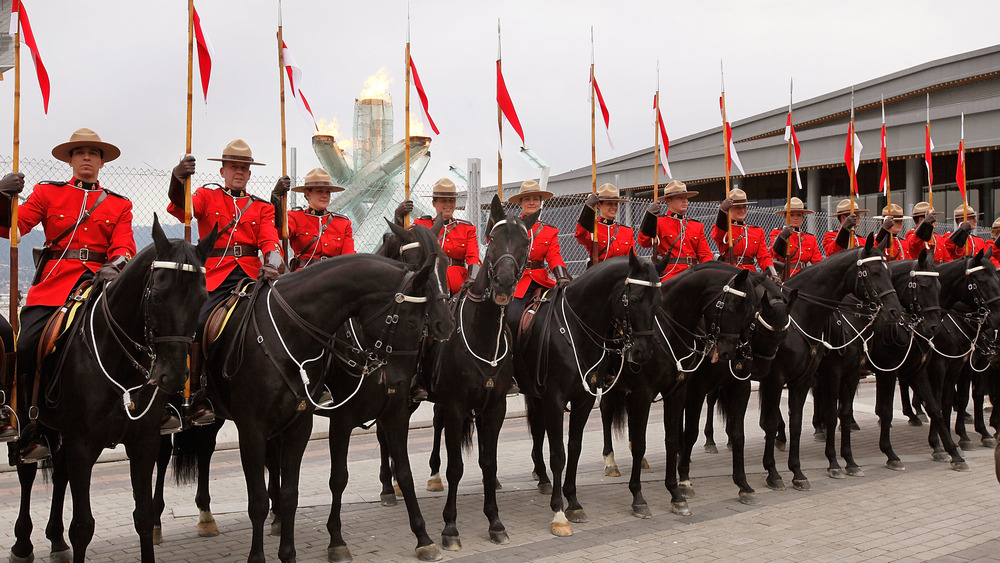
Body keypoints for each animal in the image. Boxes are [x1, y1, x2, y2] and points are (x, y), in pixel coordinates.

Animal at [9, 218, 213, 563]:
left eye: (202, 298)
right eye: (158, 296)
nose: (173, 376)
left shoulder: (142, 443)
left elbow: (143, 515)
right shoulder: (83, 445)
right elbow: (82, 526)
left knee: (59, 473)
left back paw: (55, 539)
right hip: (30, 422)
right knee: (27, 474)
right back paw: (23, 545)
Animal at [516, 252, 664, 536]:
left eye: (658, 303)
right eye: (635, 299)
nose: (644, 352)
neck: (575, 329)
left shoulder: (583, 399)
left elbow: (574, 448)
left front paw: (573, 503)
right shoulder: (554, 400)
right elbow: (558, 455)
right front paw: (559, 512)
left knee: (537, 429)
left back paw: (542, 477)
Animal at [592, 266, 756, 516]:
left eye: (748, 311)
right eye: (730, 307)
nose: (732, 352)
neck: (668, 333)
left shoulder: (678, 392)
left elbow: (672, 439)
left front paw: (676, 493)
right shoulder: (646, 394)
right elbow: (642, 443)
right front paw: (639, 497)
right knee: (606, 411)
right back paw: (610, 461)